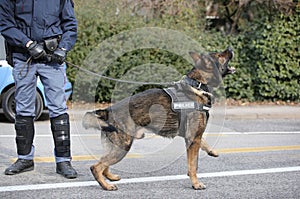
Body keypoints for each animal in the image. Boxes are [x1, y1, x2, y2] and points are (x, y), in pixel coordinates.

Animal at [83, 47, 236, 190]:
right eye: (220, 55)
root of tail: (107, 110)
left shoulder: (194, 136)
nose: (230, 48)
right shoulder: (193, 138)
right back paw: (106, 185)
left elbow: (200, 150)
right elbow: (193, 165)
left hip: (115, 146)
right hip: (123, 146)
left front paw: (211, 151)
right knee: (96, 167)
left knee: (104, 164)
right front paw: (196, 184)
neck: (198, 83)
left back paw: (111, 177)